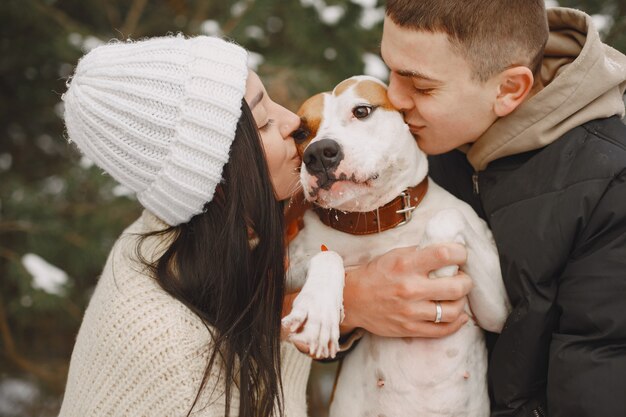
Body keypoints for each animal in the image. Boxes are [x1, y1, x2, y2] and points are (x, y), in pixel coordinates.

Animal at [280, 75, 510, 416]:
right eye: (300, 133)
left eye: (361, 110)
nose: (318, 152)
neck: (376, 222)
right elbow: (327, 255)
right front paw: (318, 309)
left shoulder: (499, 310)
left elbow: (447, 215)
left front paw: (438, 270)